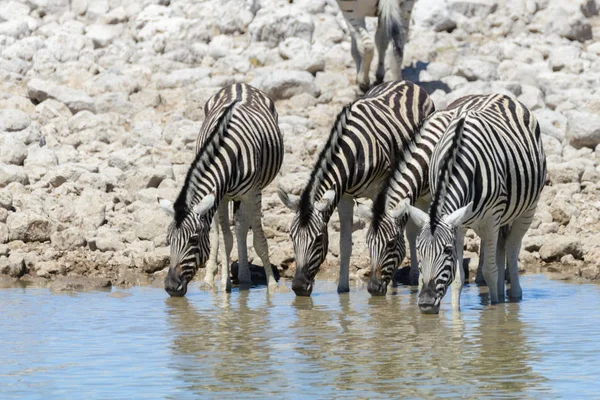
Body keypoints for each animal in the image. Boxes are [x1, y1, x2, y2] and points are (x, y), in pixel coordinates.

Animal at [157, 83, 284, 296]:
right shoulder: (221, 196)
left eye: (193, 240)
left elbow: (259, 241)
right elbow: (226, 240)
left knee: (241, 225)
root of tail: (239, 84)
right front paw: (225, 285)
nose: (171, 287)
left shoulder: (253, 193)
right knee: (221, 231)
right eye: (168, 240)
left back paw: (244, 278)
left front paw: (273, 286)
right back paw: (212, 279)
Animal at [278, 79, 434, 296]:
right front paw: (342, 289)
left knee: (411, 231)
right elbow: (345, 244)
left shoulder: (380, 189)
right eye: (291, 237)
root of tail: (406, 82)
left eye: (318, 239)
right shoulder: (344, 195)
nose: (299, 287)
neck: (352, 151)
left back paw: (410, 277)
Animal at [406, 94, 548, 312]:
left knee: (512, 246)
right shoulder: (459, 224)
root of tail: (503, 96)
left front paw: (496, 310)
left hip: (526, 210)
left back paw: (513, 294)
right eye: (420, 251)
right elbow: (458, 278)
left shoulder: (491, 218)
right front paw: (456, 314)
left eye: (447, 250)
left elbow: (489, 271)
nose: (426, 303)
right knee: (500, 246)